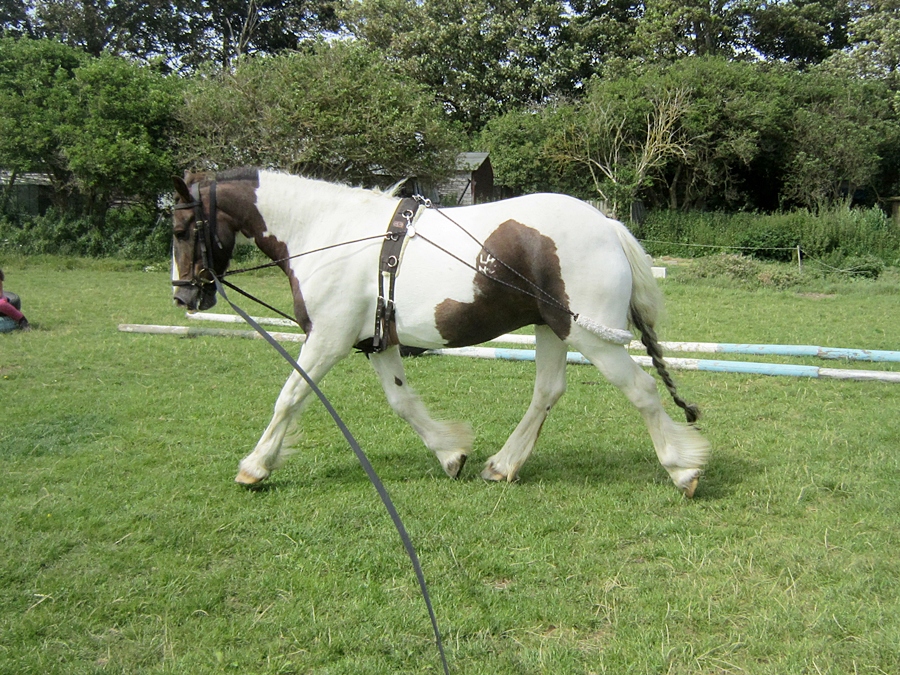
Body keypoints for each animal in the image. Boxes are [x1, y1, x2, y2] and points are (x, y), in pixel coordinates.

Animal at [171, 168, 710, 496]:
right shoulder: (375, 343)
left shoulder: (327, 338)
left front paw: (255, 466)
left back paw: (681, 468)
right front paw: (451, 453)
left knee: (641, 391)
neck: (329, 233)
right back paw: (503, 464)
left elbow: (290, 396)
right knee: (547, 392)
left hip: (590, 337)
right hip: (553, 329)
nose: (183, 297)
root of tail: (608, 226)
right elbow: (402, 402)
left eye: (180, 230)